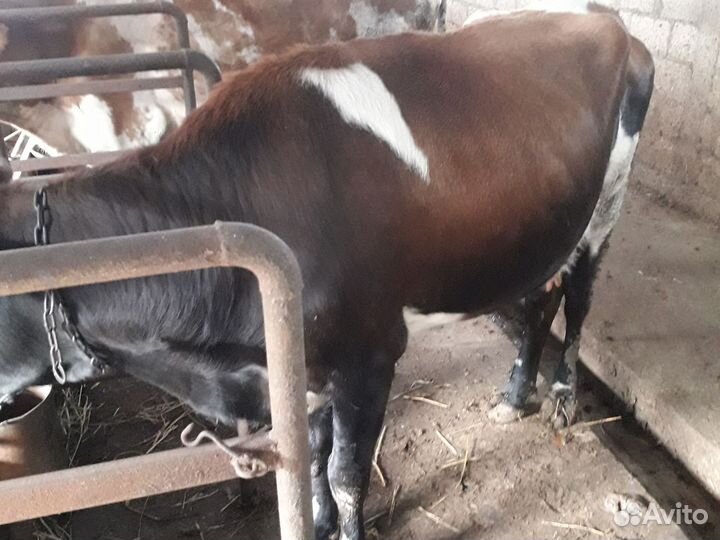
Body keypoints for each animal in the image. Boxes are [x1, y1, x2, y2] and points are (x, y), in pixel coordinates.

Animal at [0, 7, 652, 540]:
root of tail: (603, 20)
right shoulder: (299, 359)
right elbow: (311, 455)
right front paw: (316, 522)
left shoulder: (371, 354)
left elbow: (345, 470)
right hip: (547, 226)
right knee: (541, 299)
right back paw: (516, 398)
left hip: (606, 205)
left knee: (579, 298)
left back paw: (563, 395)